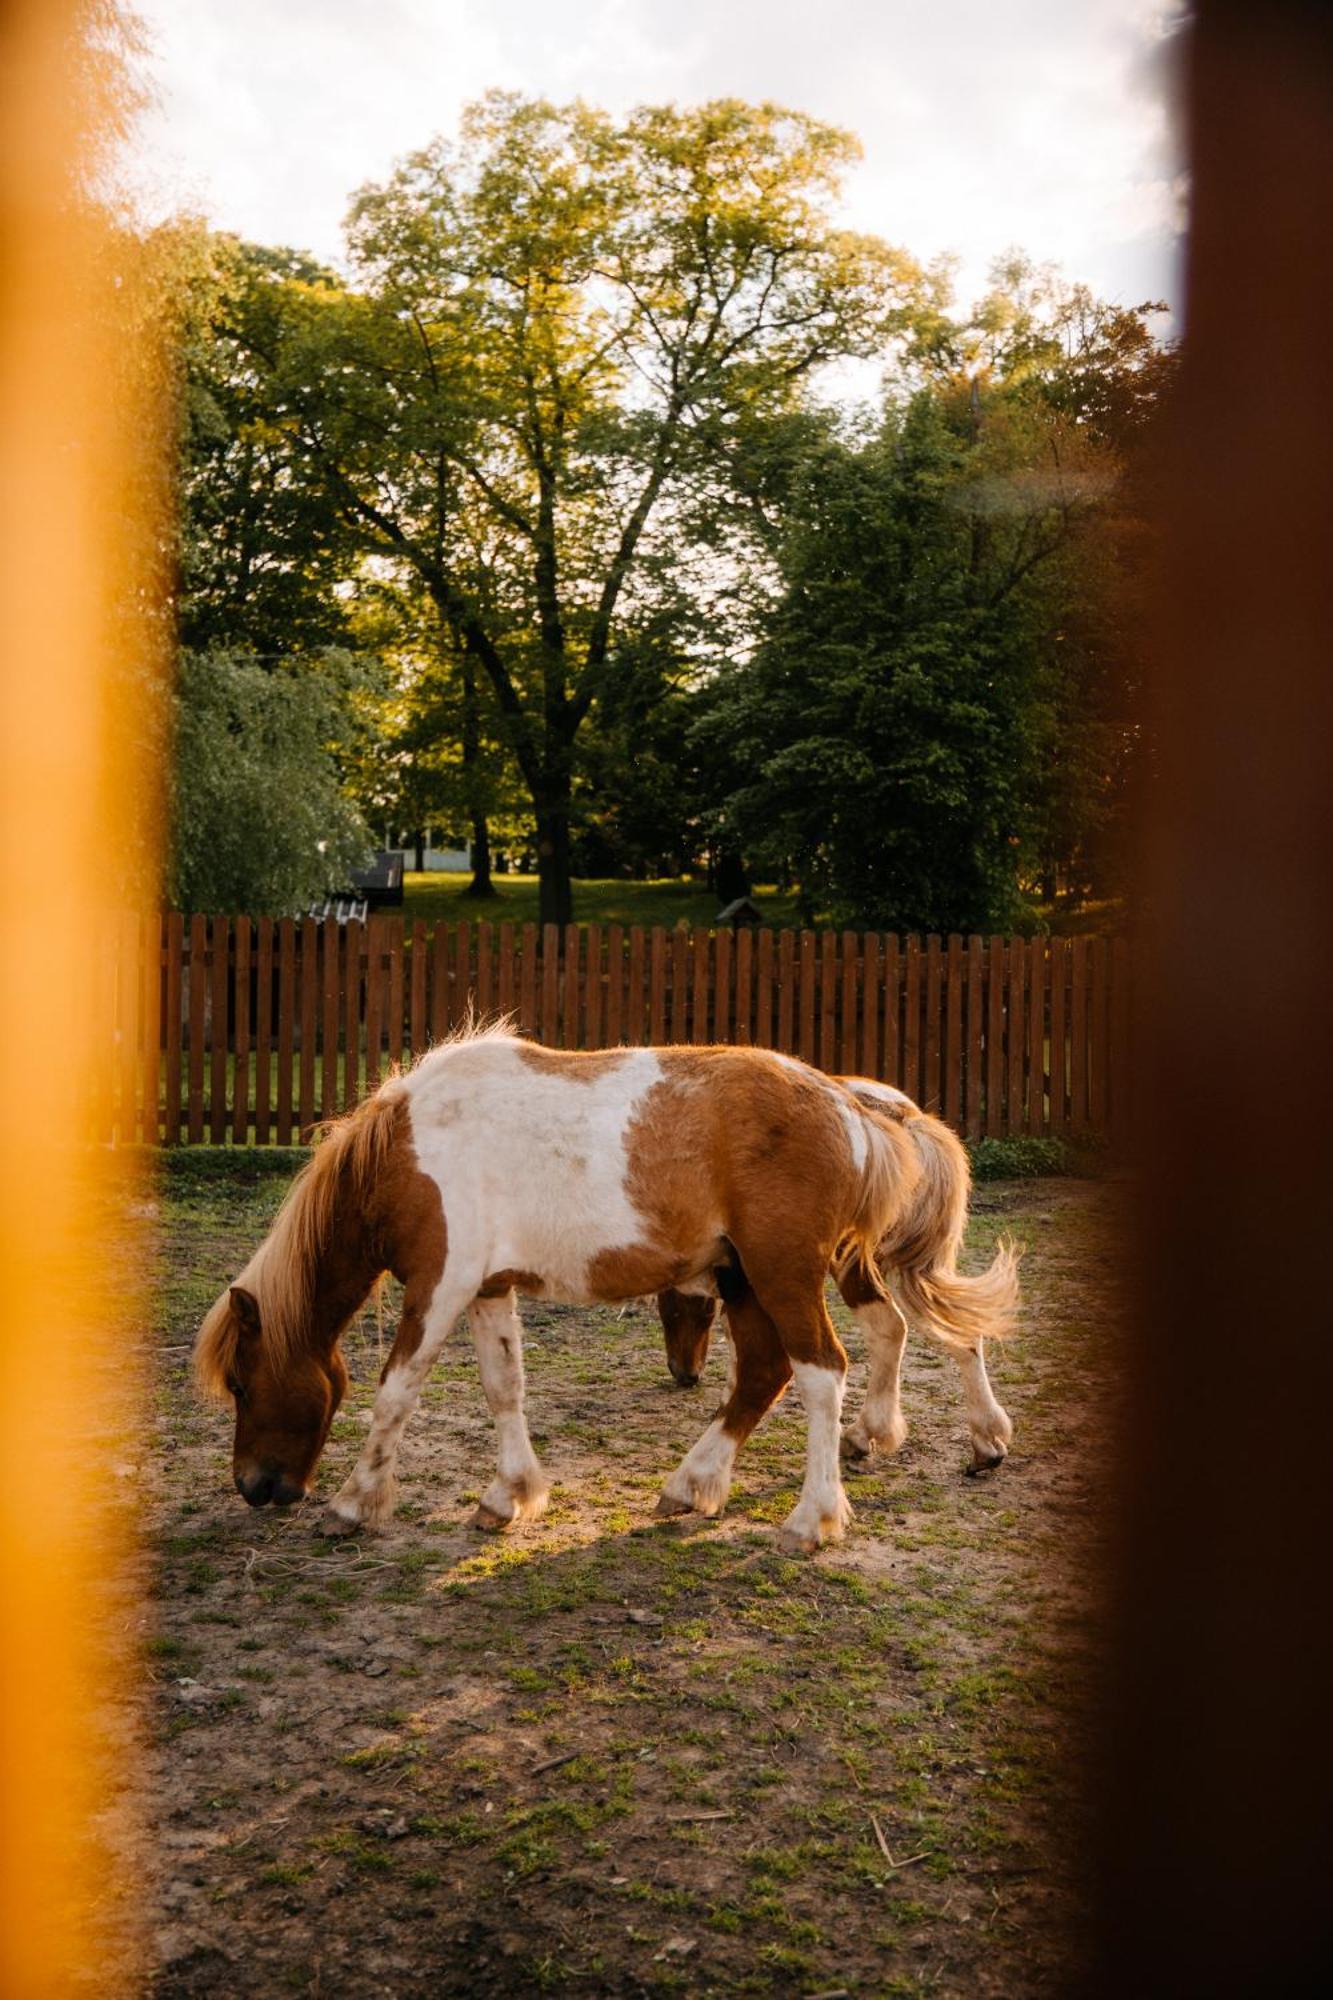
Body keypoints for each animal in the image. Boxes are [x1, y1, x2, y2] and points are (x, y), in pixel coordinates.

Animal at [192, 1024, 1012, 1552]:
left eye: (243, 1382)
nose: (253, 1487)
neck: (407, 1150)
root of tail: (851, 1108)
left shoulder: (441, 1284)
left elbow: (396, 1393)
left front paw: (355, 1504)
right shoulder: (486, 1288)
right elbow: (504, 1388)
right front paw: (510, 1495)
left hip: (785, 1274)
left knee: (822, 1372)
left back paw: (813, 1518)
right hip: (751, 1278)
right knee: (767, 1372)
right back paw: (695, 1483)